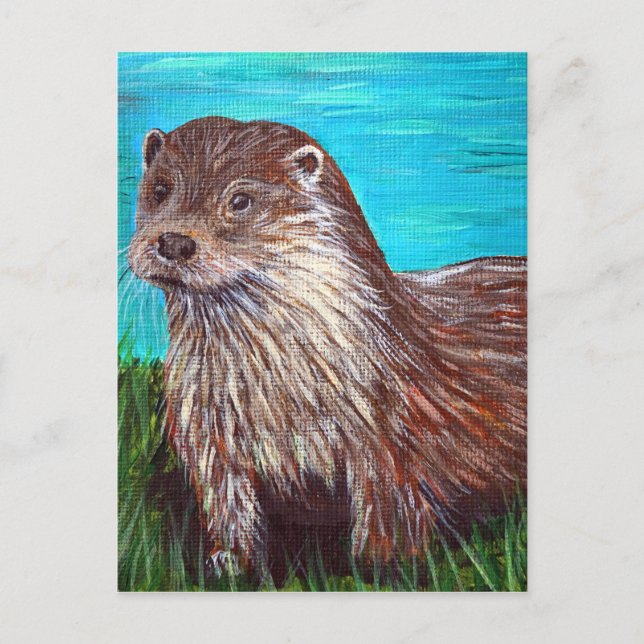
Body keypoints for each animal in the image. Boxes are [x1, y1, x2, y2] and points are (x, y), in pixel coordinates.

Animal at [128, 116, 527, 576]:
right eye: (160, 188)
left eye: (241, 200)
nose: (174, 242)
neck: (275, 390)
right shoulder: (205, 432)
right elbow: (227, 505)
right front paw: (231, 562)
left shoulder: (388, 435)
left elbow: (387, 513)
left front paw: (379, 566)